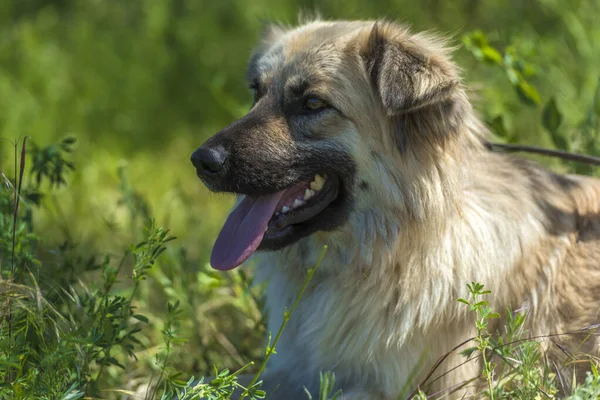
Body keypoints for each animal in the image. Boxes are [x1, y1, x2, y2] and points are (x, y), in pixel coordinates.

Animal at [191, 18, 600, 400]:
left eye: (313, 104)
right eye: (256, 92)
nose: (202, 161)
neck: (386, 253)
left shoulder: (416, 386)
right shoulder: (296, 369)